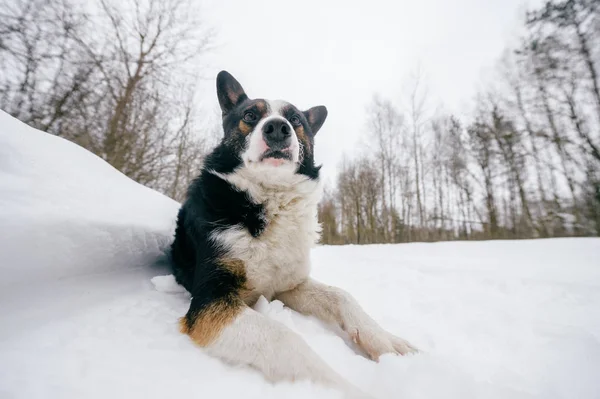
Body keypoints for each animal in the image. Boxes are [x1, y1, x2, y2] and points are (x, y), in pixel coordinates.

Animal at [170, 71, 418, 396]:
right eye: (250, 115)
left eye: (296, 119)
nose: (277, 128)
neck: (269, 198)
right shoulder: (210, 301)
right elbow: (283, 337)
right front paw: (345, 390)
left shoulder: (288, 286)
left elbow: (342, 296)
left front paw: (388, 342)